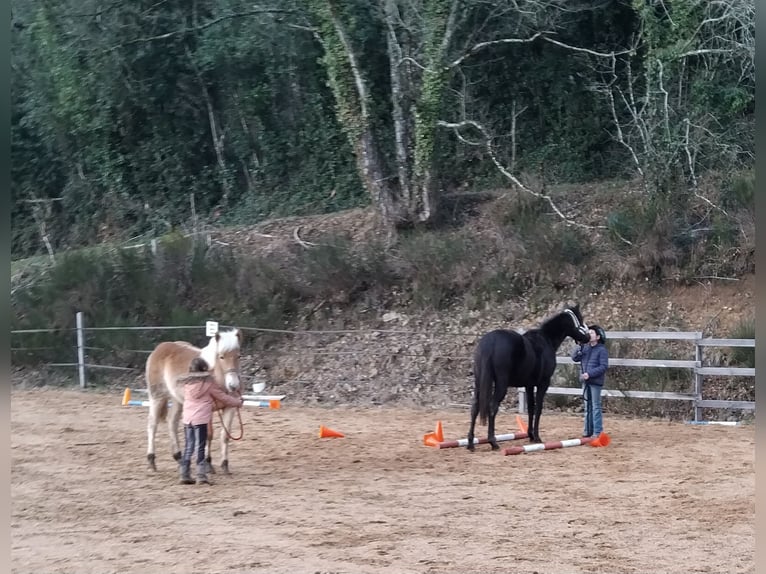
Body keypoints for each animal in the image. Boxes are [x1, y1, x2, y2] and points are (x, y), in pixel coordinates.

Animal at [145, 328, 243, 474]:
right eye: (221, 356)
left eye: (239, 356)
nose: (233, 386)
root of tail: (159, 348)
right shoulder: (207, 409)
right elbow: (208, 435)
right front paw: (208, 465)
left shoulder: (230, 408)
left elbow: (225, 436)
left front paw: (225, 465)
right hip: (157, 396)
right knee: (152, 424)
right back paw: (151, 460)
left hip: (178, 400)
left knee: (171, 422)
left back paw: (179, 458)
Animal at [466, 305, 590, 451]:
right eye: (580, 319)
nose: (588, 337)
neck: (546, 340)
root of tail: (490, 342)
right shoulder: (543, 383)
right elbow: (538, 408)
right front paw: (537, 437)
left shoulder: (529, 385)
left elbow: (531, 408)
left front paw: (530, 435)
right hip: (501, 384)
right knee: (493, 406)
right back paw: (493, 442)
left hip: (479, 382)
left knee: (475, 407)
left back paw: (470, 443)